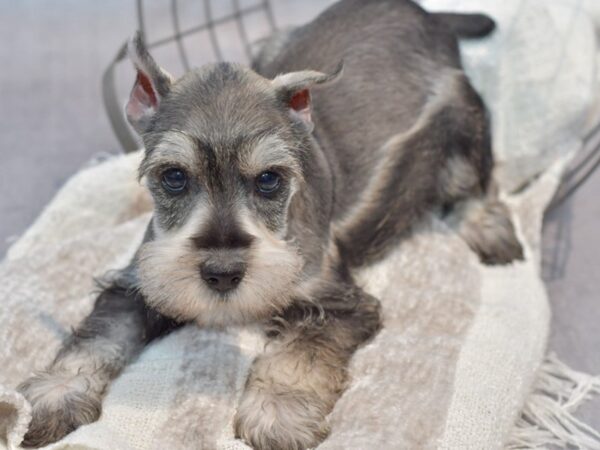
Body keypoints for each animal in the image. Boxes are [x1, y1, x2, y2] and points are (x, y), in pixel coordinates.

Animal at [18, 0, 524, 448]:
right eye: (174, 176)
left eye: (269, 180)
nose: (222, 273)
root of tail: (425, 14)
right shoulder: (137, 284)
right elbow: (97, 335)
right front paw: (54, 396)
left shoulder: (339, 303)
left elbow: (296, 356)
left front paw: (278, 414)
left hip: (466, 117)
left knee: (477, 184)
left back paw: (491, 231)